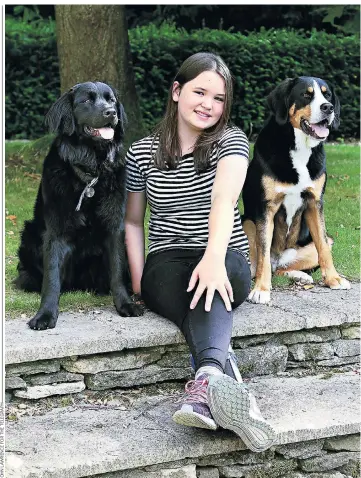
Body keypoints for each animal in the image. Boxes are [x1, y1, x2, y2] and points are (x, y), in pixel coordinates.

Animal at [15, 81, 143, 328]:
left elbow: (117, 271)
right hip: (29, 232)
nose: (111, 113)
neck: (91, 172)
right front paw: (45, 314)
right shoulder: (55, 232)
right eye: (86, 100)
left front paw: (125, 304)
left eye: (111, 100)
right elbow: (52, 278)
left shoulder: (115, 228)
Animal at [242, 76, 348, 304]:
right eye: (306, 95)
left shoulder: (315, 202)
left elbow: (323, 247)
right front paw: (261, 290)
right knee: (260, 265)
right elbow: (263, 254)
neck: (300, 149)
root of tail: (279, 258)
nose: (328, 107)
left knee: (282, 268)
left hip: (317, 244)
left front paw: (333, 279)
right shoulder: (267, 207)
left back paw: (300, 276)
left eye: (327, 95)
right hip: (247, 224)